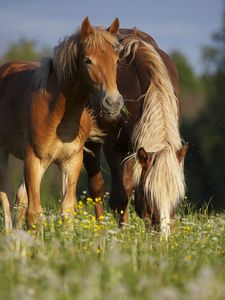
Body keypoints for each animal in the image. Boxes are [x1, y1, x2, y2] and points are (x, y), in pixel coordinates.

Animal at [0, 17, 123, 232]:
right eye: (88, 60)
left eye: (116, 60)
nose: (113, 102)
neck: (58, 115)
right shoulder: (34, 160)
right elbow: (34, 213)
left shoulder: (71, 161)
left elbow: (66, 210)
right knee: (5, 195)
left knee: (19, 197)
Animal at [83, 28, 187, 237]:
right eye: (149, 194)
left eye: (178, 197)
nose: (163, 236)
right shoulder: (114, 146)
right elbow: (120, 198)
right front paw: (122, 236)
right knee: (96, 187)